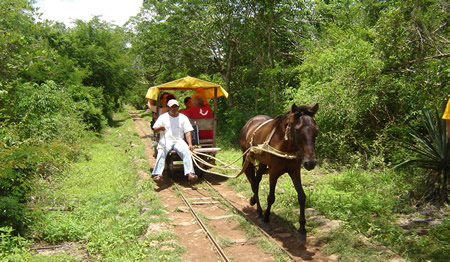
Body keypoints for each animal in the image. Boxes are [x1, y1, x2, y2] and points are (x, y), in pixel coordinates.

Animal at [239, 103, 320, 244]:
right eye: (297, 130)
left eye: (316, 130)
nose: (310, 162)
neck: (285, 146)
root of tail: (249, 122)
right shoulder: (274, 171)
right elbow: (271, 197)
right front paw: (266, 219)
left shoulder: (295, 171)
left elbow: (302, 197)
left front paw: (302, 229)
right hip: (249, 159)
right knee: (254, 183)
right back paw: (259, 212)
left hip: (262, 163)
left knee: (256, 181)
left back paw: (255, 202)